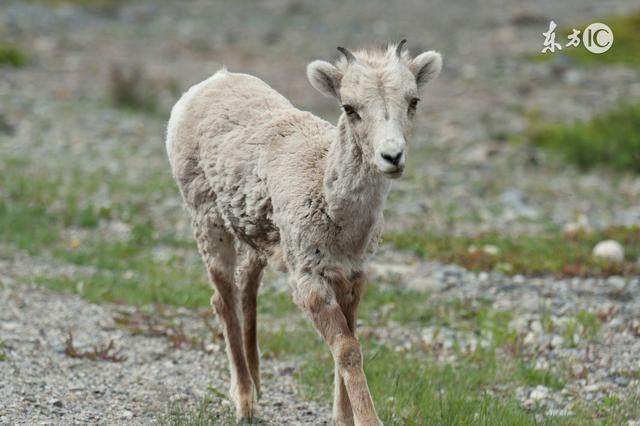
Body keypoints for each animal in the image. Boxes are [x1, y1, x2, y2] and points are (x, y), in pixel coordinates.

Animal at [168, 40, 442, 426]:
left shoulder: (353, 275)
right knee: (223, 300)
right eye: (349, 107)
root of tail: (211, 82)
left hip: (255, 239)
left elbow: (350, 342)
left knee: (247, 291)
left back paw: (258, 385)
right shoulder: (309, 280)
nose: (392, 156)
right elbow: (347, 349)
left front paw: (342, 417)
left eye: (413, 100)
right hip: (208, 221)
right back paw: (245, 402)